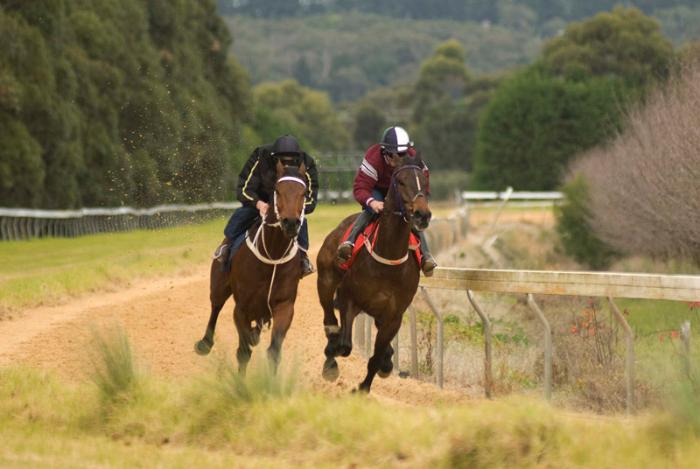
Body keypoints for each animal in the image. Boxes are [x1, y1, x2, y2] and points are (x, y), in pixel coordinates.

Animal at [196, 161, 308, 372]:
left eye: (304, 193)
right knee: (216, 306)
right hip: (219, 285)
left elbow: (274, 351)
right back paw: (205, 343)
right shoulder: (241, 309)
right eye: (277, 190)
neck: (272, 253)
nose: (290, 222)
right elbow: (243, 352)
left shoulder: (284, 305)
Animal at [314, 155, 430, 394]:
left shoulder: (394, 315)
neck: (388, 260)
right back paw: (331, 356)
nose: (422, 215)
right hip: (326, 280)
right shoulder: (349, 299)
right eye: (400, 181)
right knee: (329, 318)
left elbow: (376, 357)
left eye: (424, 181)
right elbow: (345, 345)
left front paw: (364, 387)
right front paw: (333, 354)